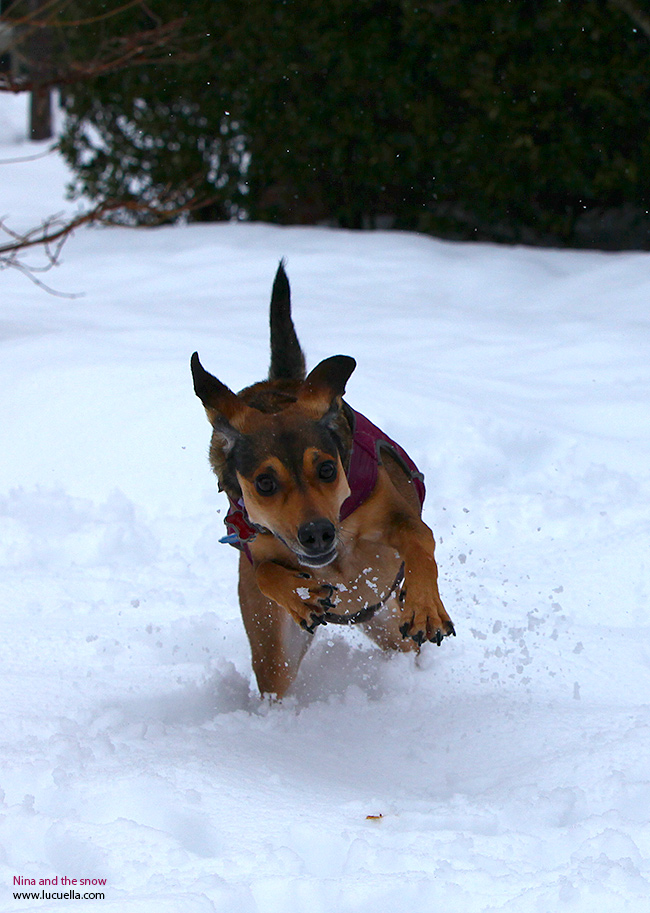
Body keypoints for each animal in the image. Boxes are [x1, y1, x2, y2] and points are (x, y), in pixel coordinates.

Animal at [190, 264, 454, 700]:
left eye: (328, 469)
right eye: (264, 483)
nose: (317, 533)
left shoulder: (391, 512)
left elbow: (419, 535)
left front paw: (424, 605)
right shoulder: (252, 541)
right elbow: (264, 572)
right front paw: (298, 594)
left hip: (387, 622)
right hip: (277, 650)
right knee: (275, 673)